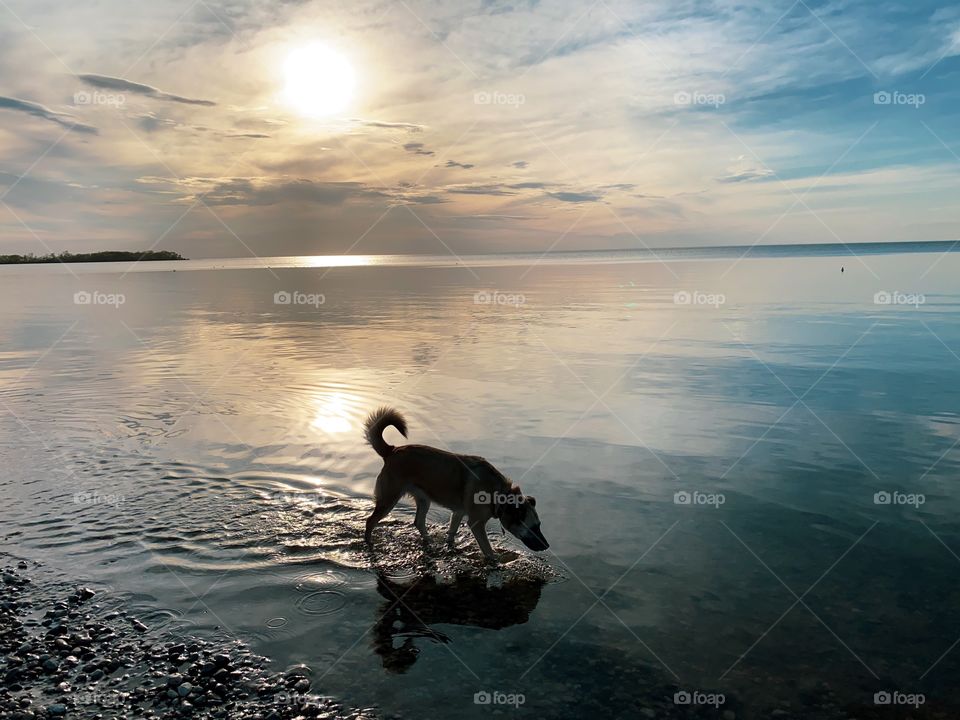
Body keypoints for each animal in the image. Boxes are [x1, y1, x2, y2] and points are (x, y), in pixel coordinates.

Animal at [364, 408, 552, 560]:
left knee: (418, 522)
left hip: (424, 499)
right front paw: (496, 563)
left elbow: (452, 533)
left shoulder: (458, 513)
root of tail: (392, 450)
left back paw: (429, 541)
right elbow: (488, 551)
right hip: (389, 499)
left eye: (539, 526)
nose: (547, 546)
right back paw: (368, 544)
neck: (498, 494)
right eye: (532, 528)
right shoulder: (476, 524)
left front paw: (449, 546)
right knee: (370, 522)